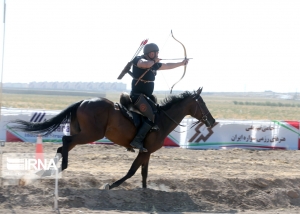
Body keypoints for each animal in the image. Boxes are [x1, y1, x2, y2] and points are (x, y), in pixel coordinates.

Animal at [9, 87, 216, 189]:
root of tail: (83, 101)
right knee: (66, 142)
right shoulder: (144, 151)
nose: (212, 121)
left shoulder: (147, 152)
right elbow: (133, 171)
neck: (162, 119)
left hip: (81, 133)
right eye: (202, 103)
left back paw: (45, 173)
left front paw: (145, 190)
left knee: (63, 147)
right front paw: (113, 185)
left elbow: (143, 173)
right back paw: (60, 168)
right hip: (90, 134)